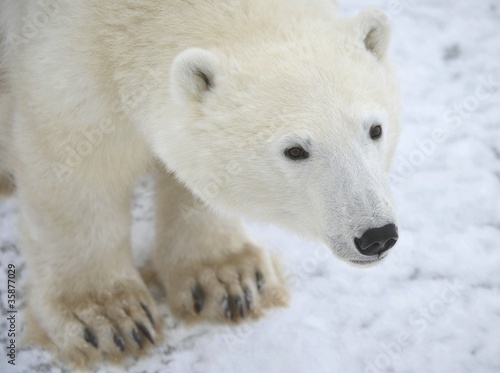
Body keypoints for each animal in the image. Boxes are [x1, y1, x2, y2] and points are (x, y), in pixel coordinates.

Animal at [0, 0, 398, 366]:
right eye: (295, 150)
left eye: (375, 129)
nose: (376, 235)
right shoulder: (62, 58)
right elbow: (75, 169)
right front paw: (109, 317)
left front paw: (229, 279)